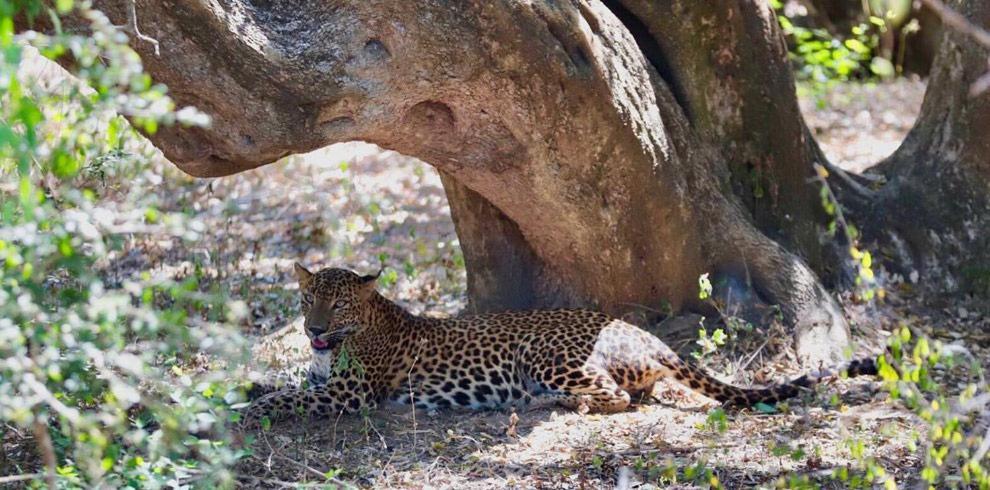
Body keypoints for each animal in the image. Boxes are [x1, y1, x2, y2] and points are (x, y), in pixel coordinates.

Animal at [244, 264, 880, 424]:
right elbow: (284, 383)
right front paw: (249, 386)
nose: (313, 330)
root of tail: (644, 332)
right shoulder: (322, 380)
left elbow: (288, 398)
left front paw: (246, 411)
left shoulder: (348, 396)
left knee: (612, 398)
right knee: (631, 394)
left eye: (338, 306)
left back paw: (548, 402)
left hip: (542, 352)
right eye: (307, 300)